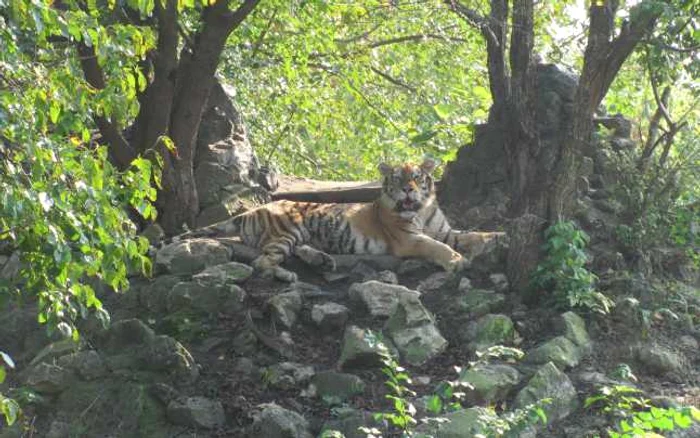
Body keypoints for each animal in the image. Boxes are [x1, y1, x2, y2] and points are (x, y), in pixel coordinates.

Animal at [172, 159, 506, 282]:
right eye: (398, 178)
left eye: (416, 177)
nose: (408, 189)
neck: (421, 209)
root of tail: (251, 211)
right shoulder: (409, 240)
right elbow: (437, 248)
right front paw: (456, 261)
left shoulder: (446, 231)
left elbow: (472, 234)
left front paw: (500, 236)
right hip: (288, 228)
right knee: (262, 262)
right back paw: (288, 276)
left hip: (301, 234)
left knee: (289, 252)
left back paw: (323, 260)